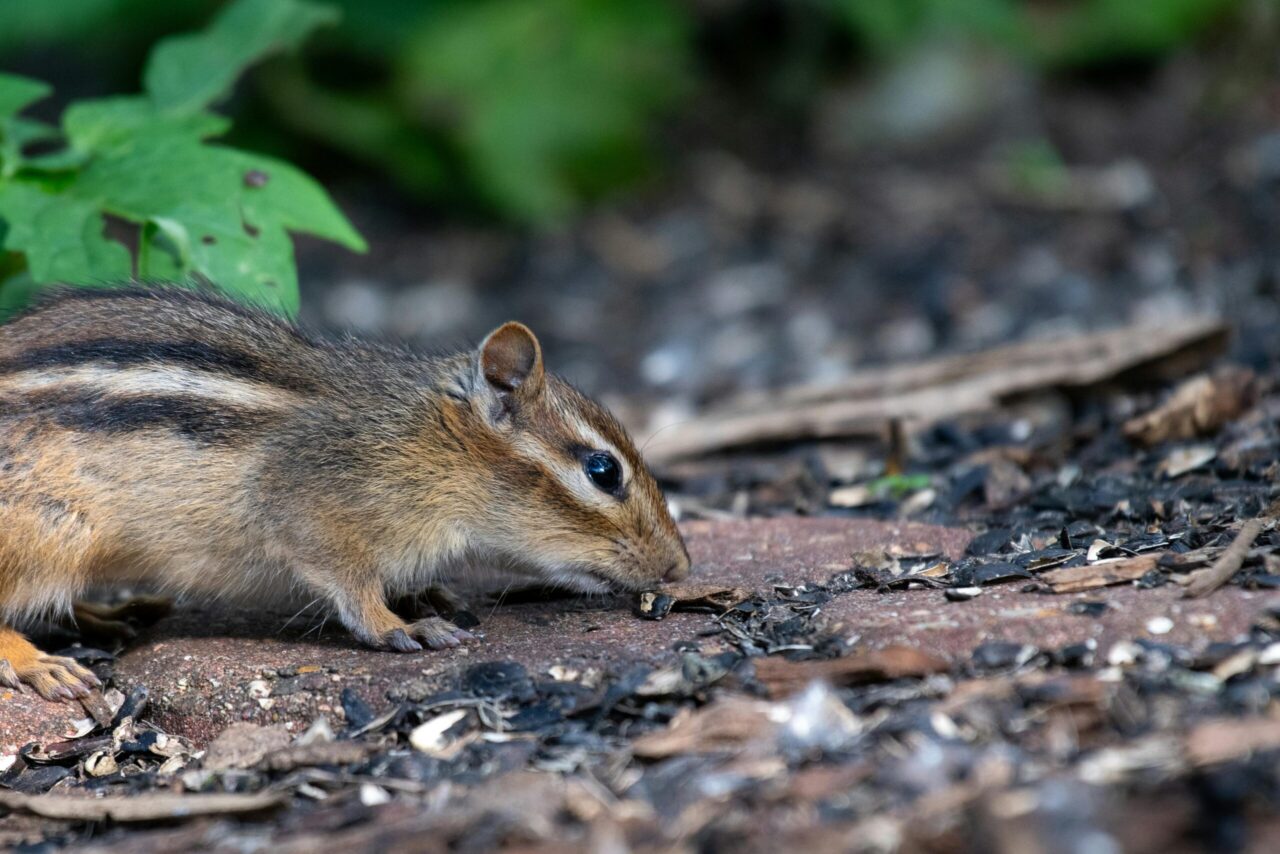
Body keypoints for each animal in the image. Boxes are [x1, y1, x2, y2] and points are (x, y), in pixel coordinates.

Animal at [0, 287, 690, 701]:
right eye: (602, 471)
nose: (680, 567)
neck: (434, 443)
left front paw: (424, 594)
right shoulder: (311, 516)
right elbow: (351, 588)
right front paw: (400, 626)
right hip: (46, 533)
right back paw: (40, 660)